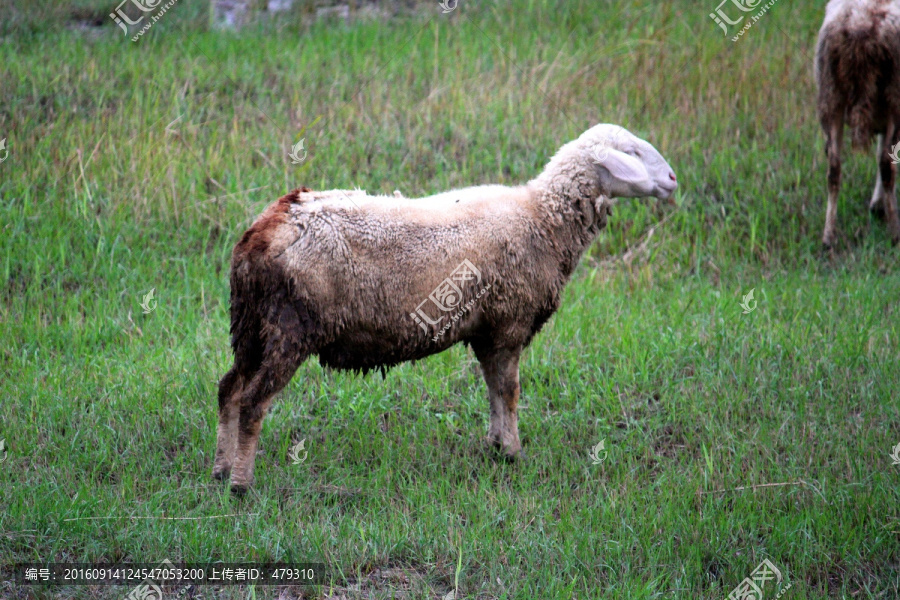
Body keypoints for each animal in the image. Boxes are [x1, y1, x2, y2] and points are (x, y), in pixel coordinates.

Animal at [214, 124, 680, 494]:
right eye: (633, 152)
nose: (674, 179)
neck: (542, 218)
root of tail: (265, 229)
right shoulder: (509, 324)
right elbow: (508, 391)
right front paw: (514, 452)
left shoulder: (488, 332)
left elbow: (493, 390)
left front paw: (497, 446)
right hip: (290, 327)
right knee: (253, 401)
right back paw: (241, 483)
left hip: (251, 324)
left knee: (229, 389)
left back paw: (220, 469)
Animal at [816, 0, 900, 246]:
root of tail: (860, 30)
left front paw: (876, 206)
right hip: (894, 95)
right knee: (887, 167)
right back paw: (895, 233)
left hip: (830, 96)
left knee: (834, 170)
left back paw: (828, 236)